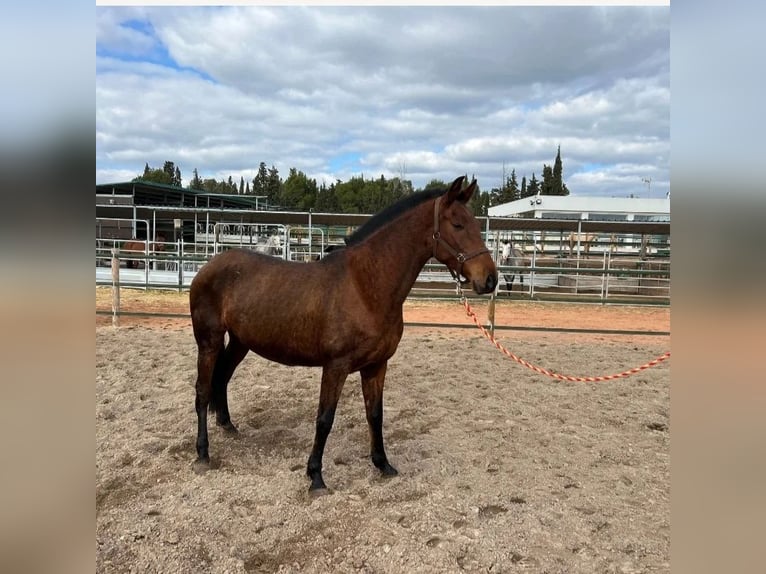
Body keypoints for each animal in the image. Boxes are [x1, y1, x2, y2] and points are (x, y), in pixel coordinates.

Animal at [190, 177, 500, 496]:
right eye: (458, 225)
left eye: (476, 225)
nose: (489, 279)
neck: (365, 286)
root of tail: (208, 267)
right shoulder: (335, 367)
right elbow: (324, 419)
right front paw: (316, 477)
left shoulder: (376, 365)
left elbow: (375, 415)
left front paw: (383, 465)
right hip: (208, 341)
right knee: (202, 390)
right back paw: (203, 454)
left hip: (240, 342)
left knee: (222, 378)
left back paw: (228, 427)